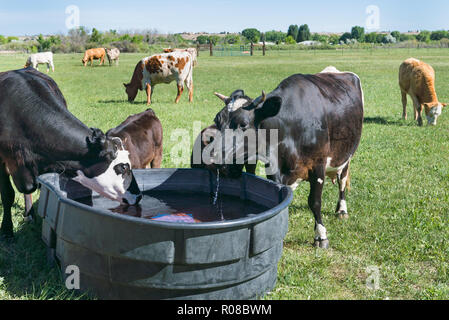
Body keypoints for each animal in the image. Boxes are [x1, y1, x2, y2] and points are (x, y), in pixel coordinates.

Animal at [211, 67, 364, 248]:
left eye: (243, 124)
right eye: (217, 120)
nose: (214, 159)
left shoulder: (318, 165)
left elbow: (315, 201)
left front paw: (321, 236)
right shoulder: (275, 168)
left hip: (346, 156)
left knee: (342, 180)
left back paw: (341, 210)